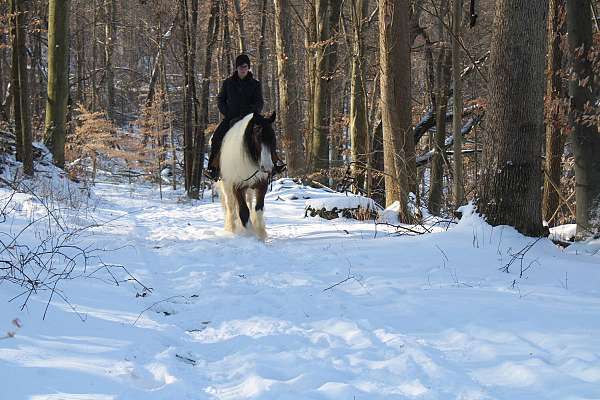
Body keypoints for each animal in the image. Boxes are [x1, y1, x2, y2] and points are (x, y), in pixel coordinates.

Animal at [217, 111, 278, 239]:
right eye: (257, 138)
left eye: (272, 138)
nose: (267, 167)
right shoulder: (237, 187)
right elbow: (243, 211)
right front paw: (250, 234)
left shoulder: (262, 185)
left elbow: (258, 208)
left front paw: (260, 233)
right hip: (226, 185)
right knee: (230, 206)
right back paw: (231, 228)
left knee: (249, 203)